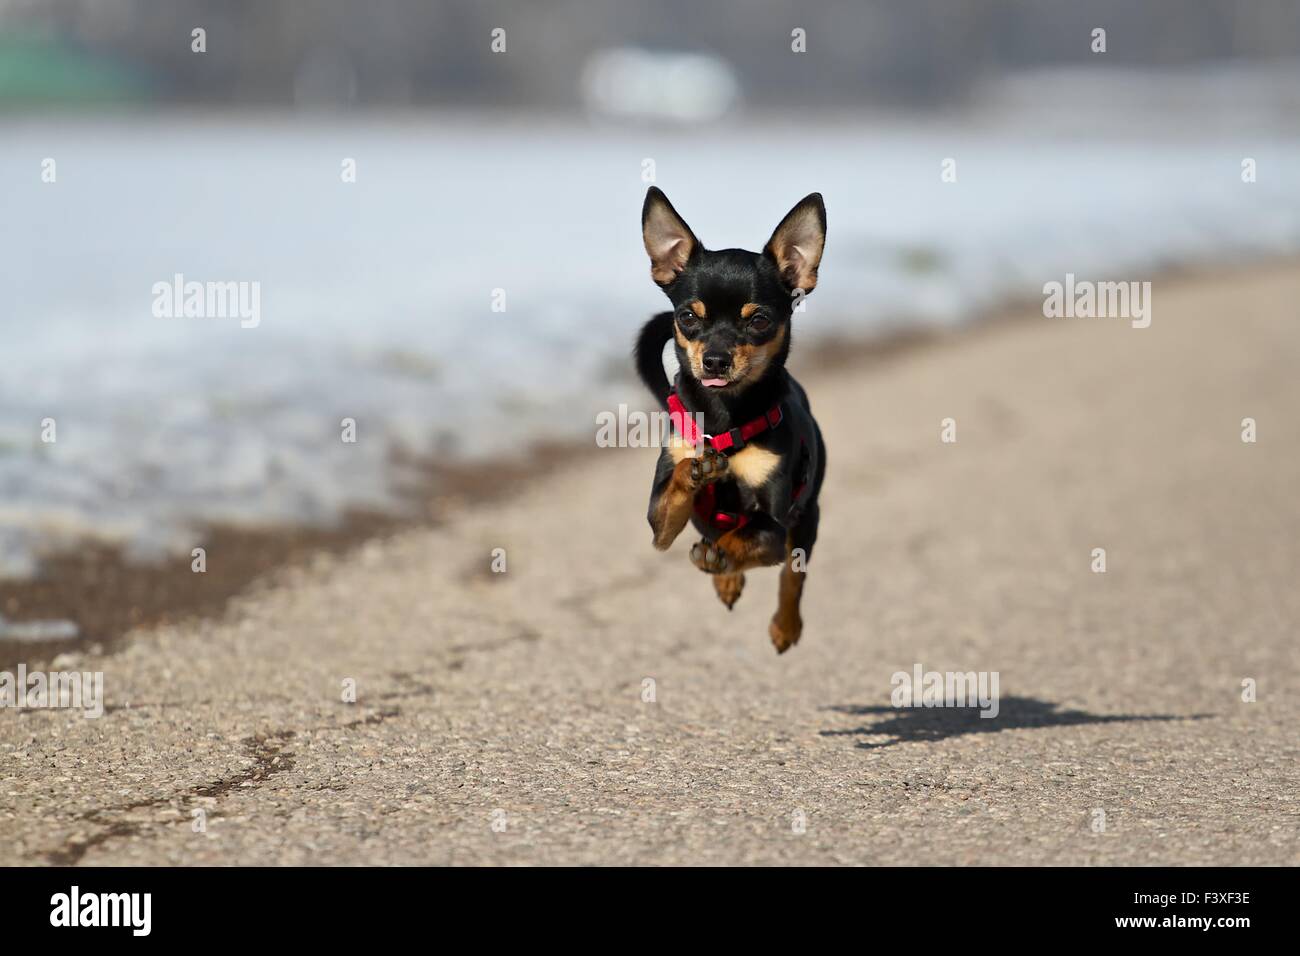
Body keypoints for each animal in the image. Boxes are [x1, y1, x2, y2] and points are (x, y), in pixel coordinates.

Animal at [634, 185, 826, 650]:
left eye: (758, 320)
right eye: (687, 317)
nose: (716, 360)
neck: (724, 419)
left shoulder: (774, 527)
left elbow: (748, 537)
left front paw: (723, 554)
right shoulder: (658, 523)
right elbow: (676, 490)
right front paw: (695, 472)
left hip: (806, 519)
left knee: (793, 577)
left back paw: (785, 624)